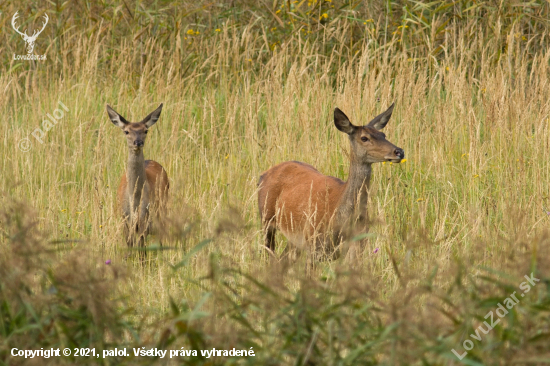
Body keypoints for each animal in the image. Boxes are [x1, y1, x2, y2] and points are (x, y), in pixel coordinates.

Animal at [105, 103, 169, 252]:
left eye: (145, 130)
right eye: (126, 131)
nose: (138, 142)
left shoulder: (144, 221)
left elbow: (141, 251)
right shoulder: (125, 220)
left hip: (162, 209)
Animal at [258, 103, 406, 260]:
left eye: (383, 135)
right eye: (364, 138)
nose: (399, 151)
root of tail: (263, 175)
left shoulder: (358, 245)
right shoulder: (314, 243)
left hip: (295, 239)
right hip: (267, 219)